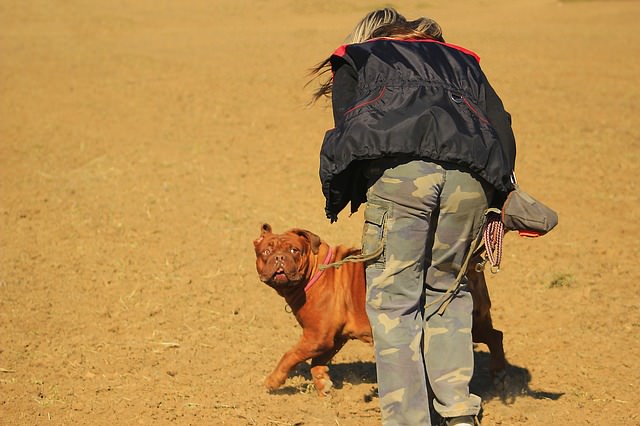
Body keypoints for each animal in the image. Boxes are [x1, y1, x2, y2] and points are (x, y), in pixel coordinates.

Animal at [252, 223, 508, 396]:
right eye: (266, 251)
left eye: (294, 250)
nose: (279, 258)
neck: (316, 271)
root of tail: (470, 264)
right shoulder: (332, 338)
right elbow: (317, 361)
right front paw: (323, 384)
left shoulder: (317, 336)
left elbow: (290, 355)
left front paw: (272, 381)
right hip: (477, 320)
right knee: (495, 335)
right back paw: (498, 373)